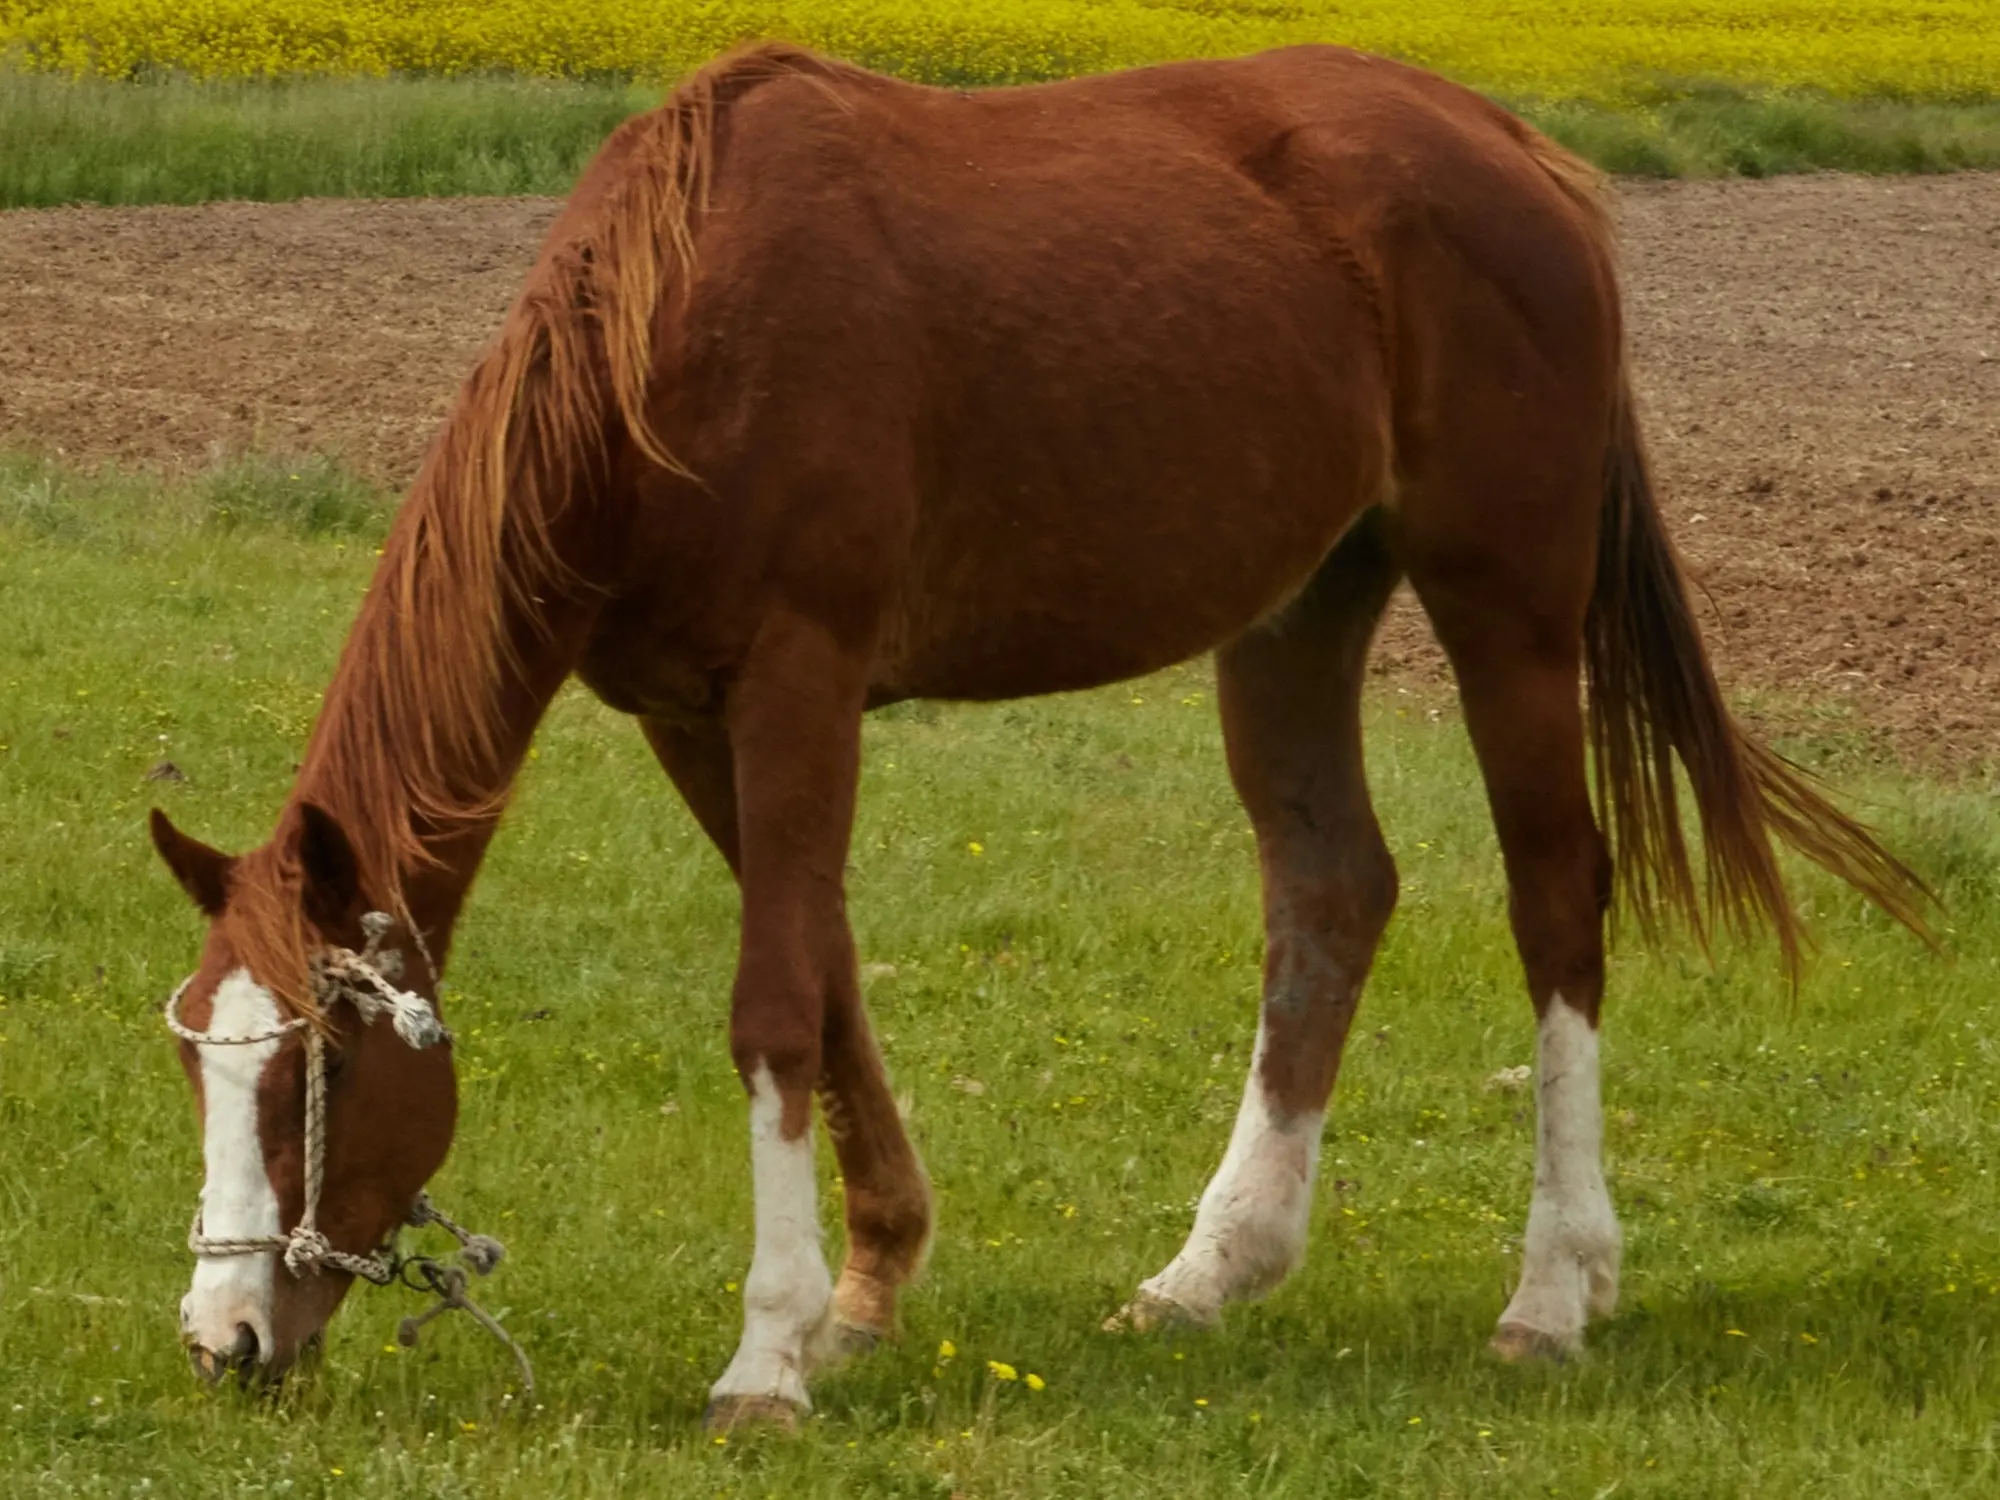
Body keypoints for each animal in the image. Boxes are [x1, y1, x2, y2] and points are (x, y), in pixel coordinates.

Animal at [148, 41, 1928, 1432]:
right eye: (197, 1060)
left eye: (313, 1066)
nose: (223, 1340)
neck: (670, 341)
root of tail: (1517, 149)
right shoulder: (690, 720)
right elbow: (832, 974)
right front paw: (863, 1293)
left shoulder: (798, 682)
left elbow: (774, 1005)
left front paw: (766, 1356)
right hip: (1299, 609)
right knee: (1331, 891)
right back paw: (1214, 1268)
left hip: (1507, 595)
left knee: (1557, 896)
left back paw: (1555, 1290)